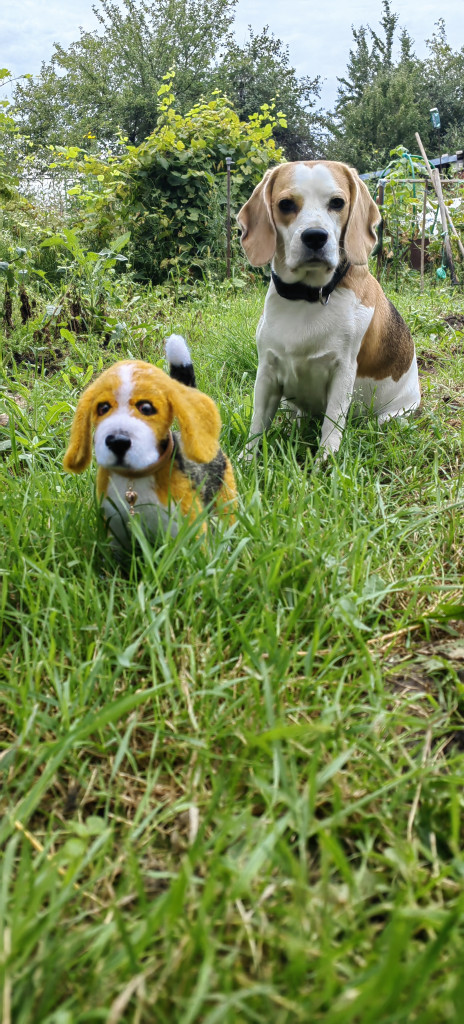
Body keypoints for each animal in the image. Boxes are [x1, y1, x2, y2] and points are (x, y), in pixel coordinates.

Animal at [63, 336, 237, 550]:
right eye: (102, 408)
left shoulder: (188, 531)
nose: (118, 442)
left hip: (225, 497)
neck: (133, 480)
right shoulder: (115, 533)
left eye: (146, 408)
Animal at [237, 160, 420, 456]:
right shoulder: (266, 371)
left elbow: (331, 426)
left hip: (391, 417)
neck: (308, 297)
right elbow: (258, 424)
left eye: (337, 203)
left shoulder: (342, 372)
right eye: (286, 204)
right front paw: (247, 457)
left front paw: (326, 461)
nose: (315, 237)